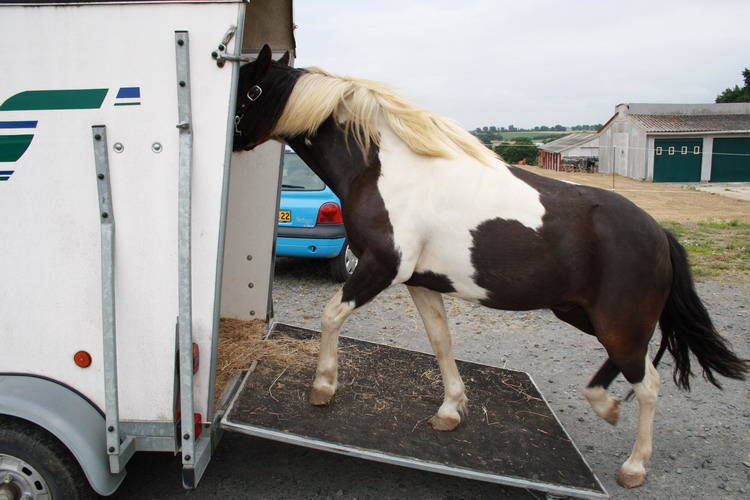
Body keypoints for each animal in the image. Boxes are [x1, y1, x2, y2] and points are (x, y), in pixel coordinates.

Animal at [232, 45, 748, 490]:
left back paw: (634, 466)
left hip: (619, 320)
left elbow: (330, 315)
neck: (383, 170)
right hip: (583, 314)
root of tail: (659, 233)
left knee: (649, 382)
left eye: (250, 90)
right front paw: (449, 411)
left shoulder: (380, 268)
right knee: (625, 367)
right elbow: (441, 343)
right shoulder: (420, 283)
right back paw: (605, 407)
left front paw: (323, 387)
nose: (230, 141)